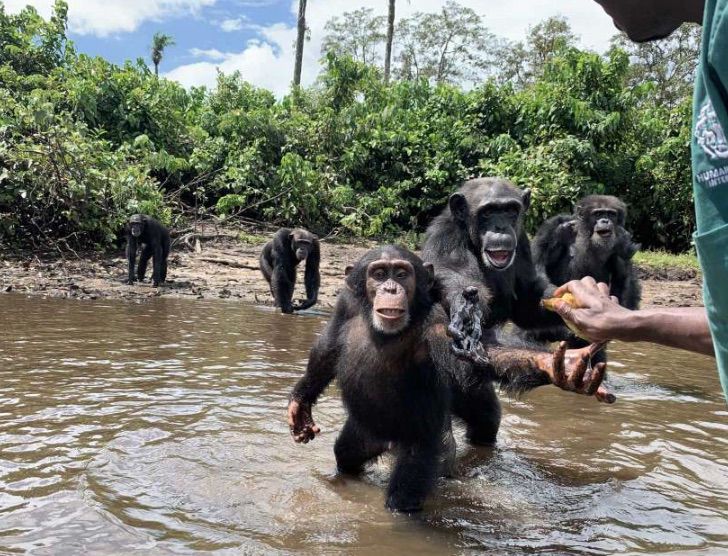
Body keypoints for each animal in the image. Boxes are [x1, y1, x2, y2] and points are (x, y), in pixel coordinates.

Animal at [288, 245, 612, 516]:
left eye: (401, 273)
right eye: (378, 274)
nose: (390, 287)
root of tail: (387, 442)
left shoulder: (438, 324)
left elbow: (475, 357)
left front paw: (560, 366)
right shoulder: (345, 304)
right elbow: (329, 346)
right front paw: (299, 405)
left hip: (424, 445)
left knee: (404, 495)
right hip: (363, 433)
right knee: (345, 456)